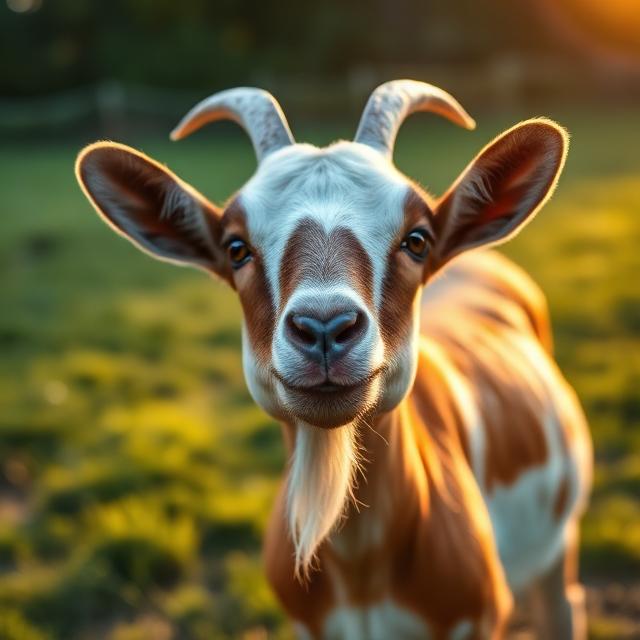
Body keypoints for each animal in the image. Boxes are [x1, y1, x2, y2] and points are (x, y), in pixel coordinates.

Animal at [75, 80, 592, 639]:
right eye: (236, 248)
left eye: (417, 239)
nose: (324, 328)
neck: (360, 564)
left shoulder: (475, 621)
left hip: (559, 543)